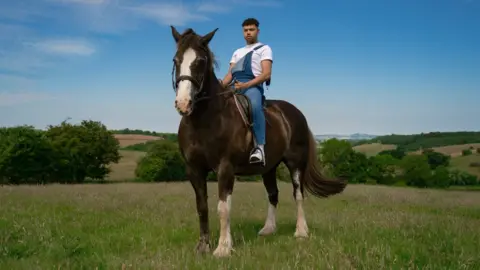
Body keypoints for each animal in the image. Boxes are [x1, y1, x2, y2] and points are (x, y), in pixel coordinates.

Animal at [171, 25, 346, 258]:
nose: (183, 103)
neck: (206, 119)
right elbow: (202, 207)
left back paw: (301, 231)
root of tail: (294, 112)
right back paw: (268, 229)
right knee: (273, 194)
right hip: (268, 167)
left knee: (298, 195)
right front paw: (203, 246)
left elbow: (223, 208)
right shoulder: (194, 170)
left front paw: (223, 248)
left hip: (295, 163)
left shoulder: (225, 168)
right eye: (176, 60)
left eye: (200, 60)